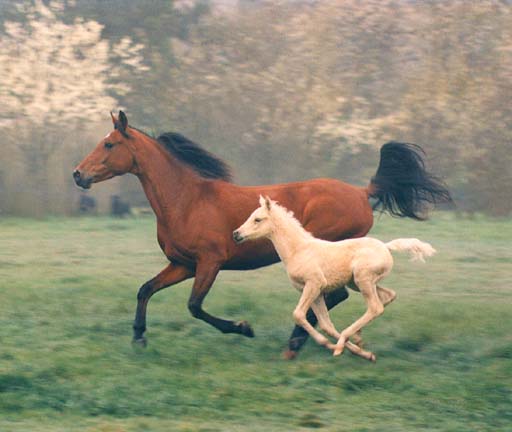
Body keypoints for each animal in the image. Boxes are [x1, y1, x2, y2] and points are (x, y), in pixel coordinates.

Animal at [234, 196, 434, 362]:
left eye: (258, 219)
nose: (236, 234)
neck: (298, 250)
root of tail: (386, 246)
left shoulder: (313, 284)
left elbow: (298, 314)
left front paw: (335, 346)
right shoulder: (315, 292)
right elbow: (325, 324)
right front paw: (360, 352)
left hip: (363, 279)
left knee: (375, 307)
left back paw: (345, 340)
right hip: (357, 283)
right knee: (388, 296)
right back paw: (357, 337)